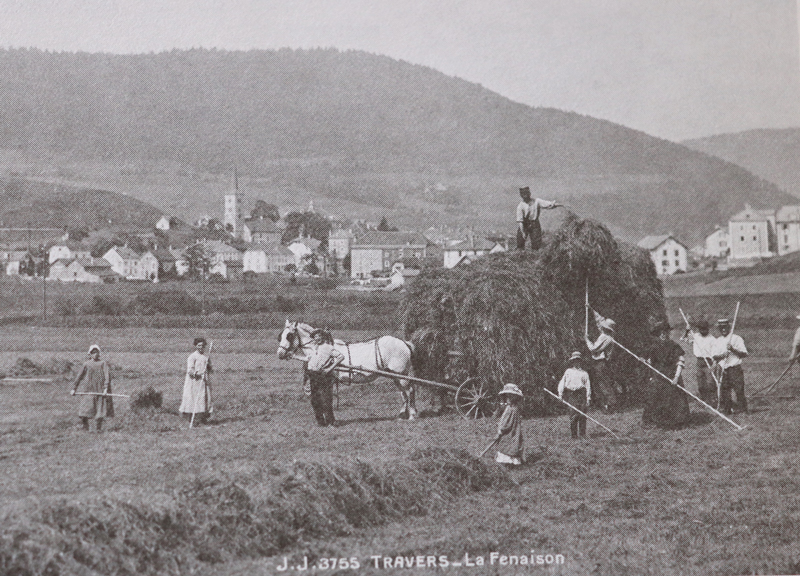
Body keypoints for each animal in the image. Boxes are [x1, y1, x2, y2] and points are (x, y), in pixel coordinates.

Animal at [277, 320, 418, 419]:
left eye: (289, 335)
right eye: (280, 336)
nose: (280, 354)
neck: (318, 347)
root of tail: (404, 343)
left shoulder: (328, 379)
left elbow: (327, 399)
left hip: (401, 374)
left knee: (410, 390)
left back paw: (412, 415)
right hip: (395, 375)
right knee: (403, 392)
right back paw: (402, 414)